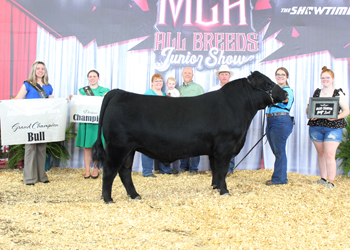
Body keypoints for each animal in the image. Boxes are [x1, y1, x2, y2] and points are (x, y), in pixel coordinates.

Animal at [91, 70, 288, 203]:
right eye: (267, 84)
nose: (286, 93)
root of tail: (119, 92)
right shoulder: (225, 146)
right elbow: (222, 169)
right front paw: (225, 191)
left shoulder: (214, 149)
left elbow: (216, 170)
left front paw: (215, 187)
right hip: (117, 147)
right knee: (109, 170)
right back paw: (107, 199)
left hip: (129, 149)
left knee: (124, 171)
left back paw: (135, 195)